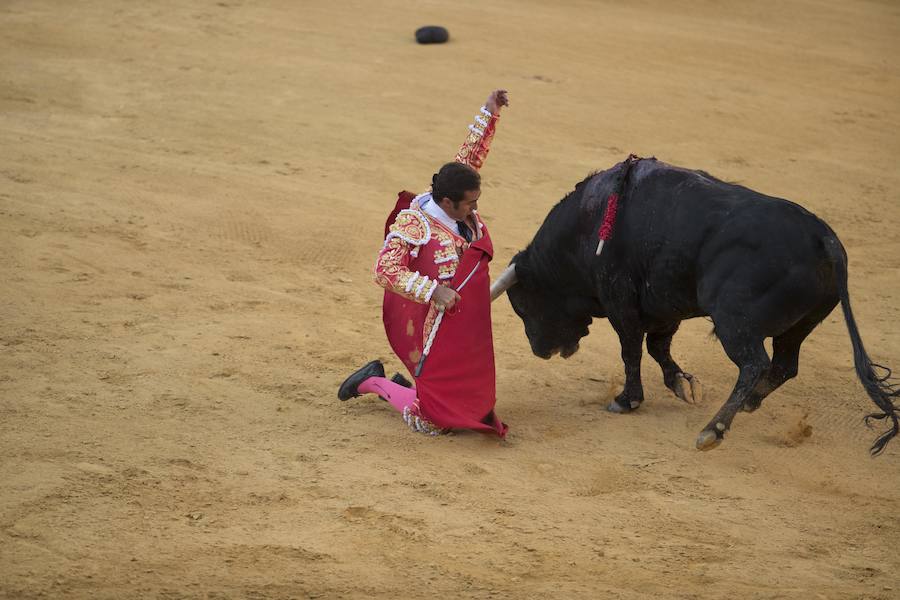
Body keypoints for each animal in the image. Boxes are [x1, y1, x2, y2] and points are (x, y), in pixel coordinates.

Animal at [492, 159, 900, 454]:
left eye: (523, 305)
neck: (586, 228)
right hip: (799, 326)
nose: (540, 350)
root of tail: (823, 237)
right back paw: (750, 403)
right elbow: (658, 348)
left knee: (755, 363)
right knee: (784, 365)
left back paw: (713, 430)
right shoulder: (663, 306)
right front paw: (682, 384)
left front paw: (626, 400)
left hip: (734, 321)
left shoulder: (621, 302)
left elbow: (632, 350)